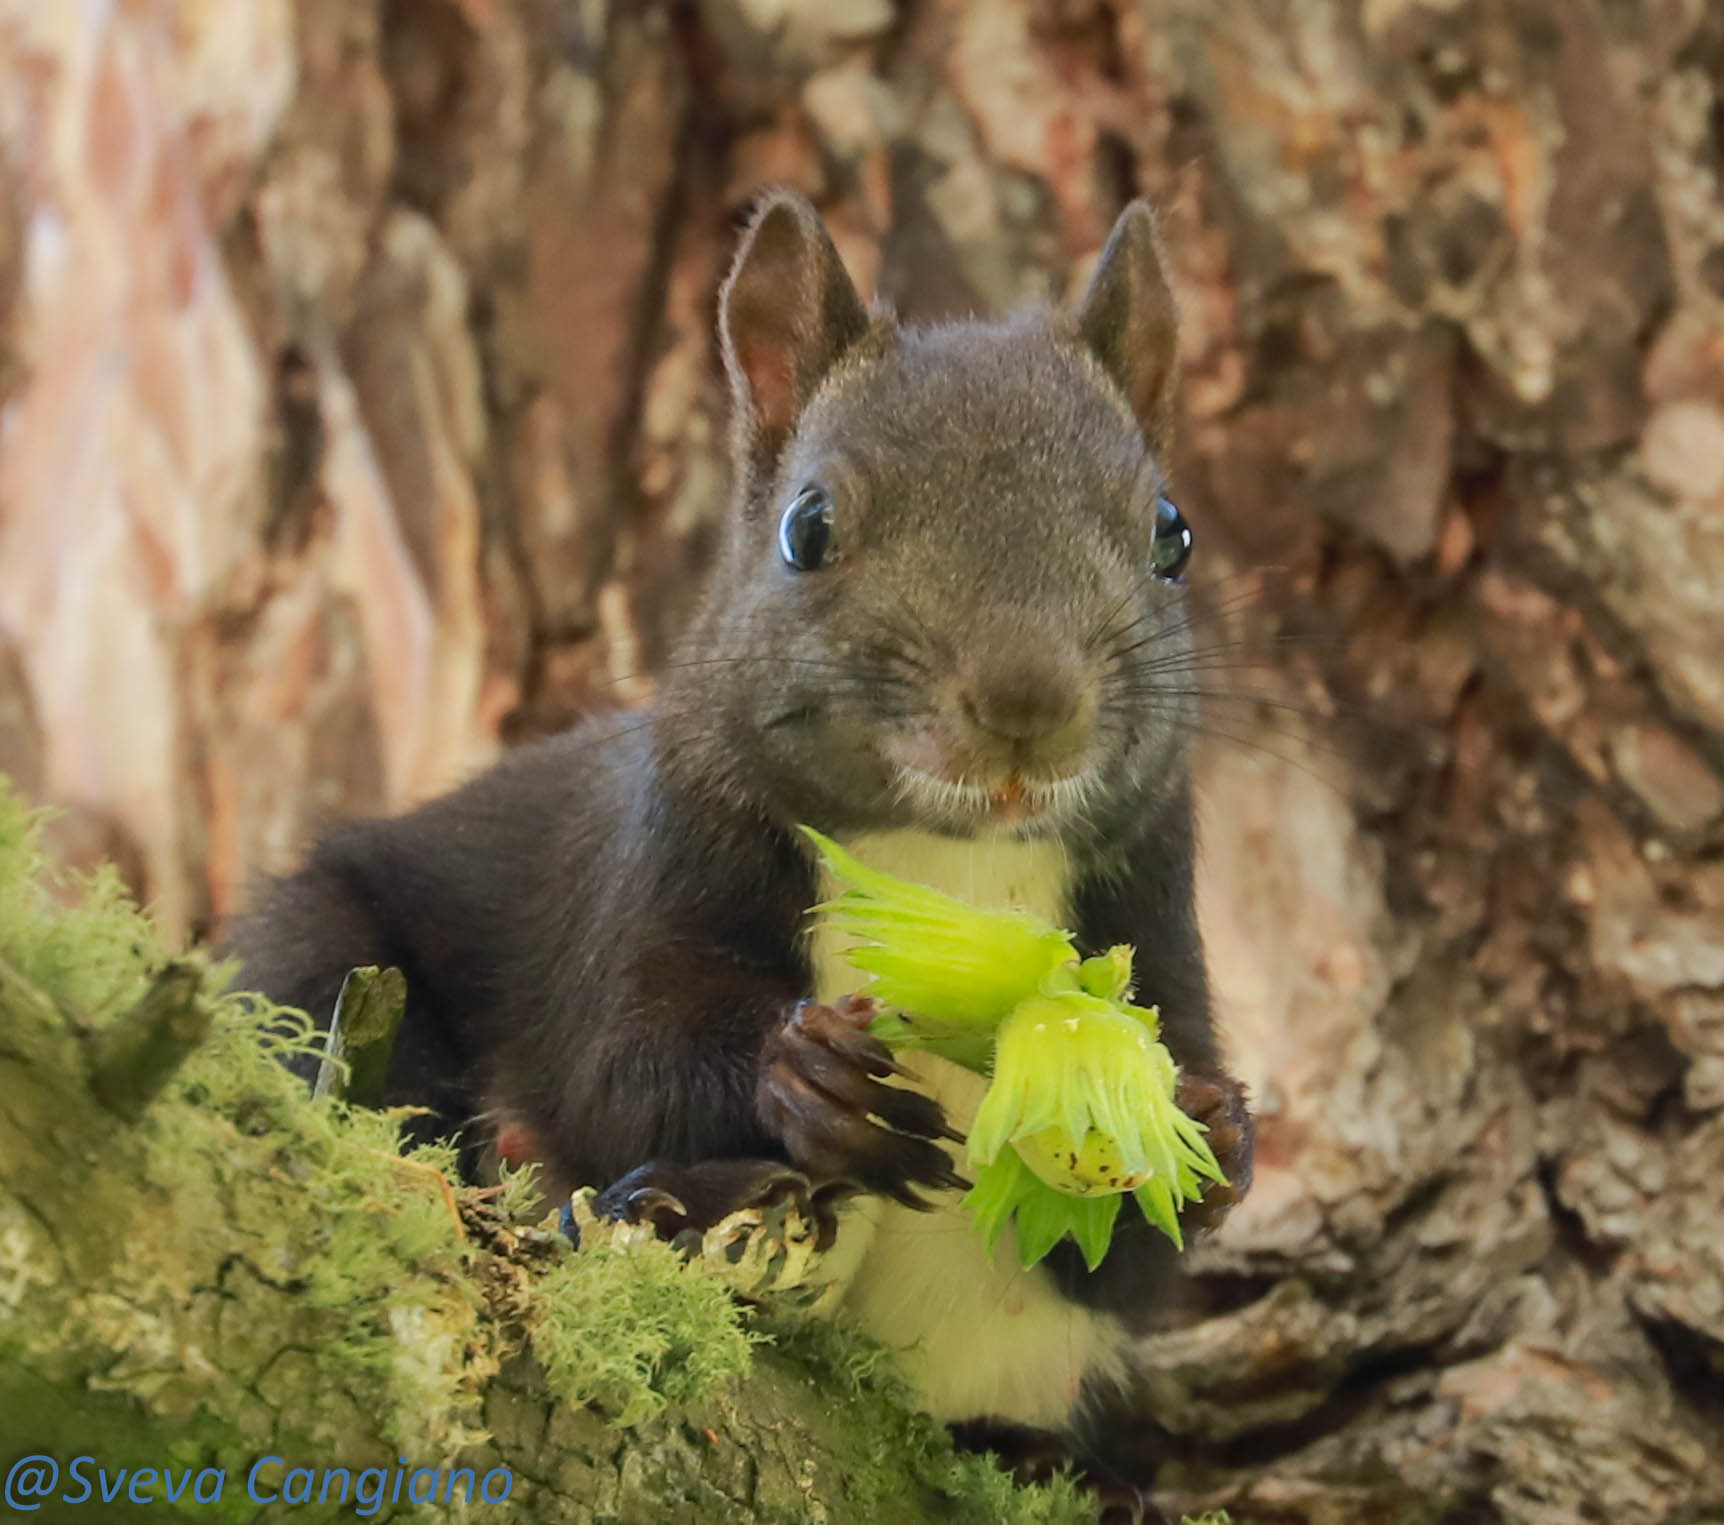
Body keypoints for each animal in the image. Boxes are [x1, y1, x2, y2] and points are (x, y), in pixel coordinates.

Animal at [229, 189, 1253, 1518]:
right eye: (805, 529)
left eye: (1170, 534)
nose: (1026, 702)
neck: (949, 862)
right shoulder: (651, 870)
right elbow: (615, 1066)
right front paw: (802, 1080)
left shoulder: (1154, 912)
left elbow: (1125, 1258)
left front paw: (1217, 1132)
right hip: (324, 957)